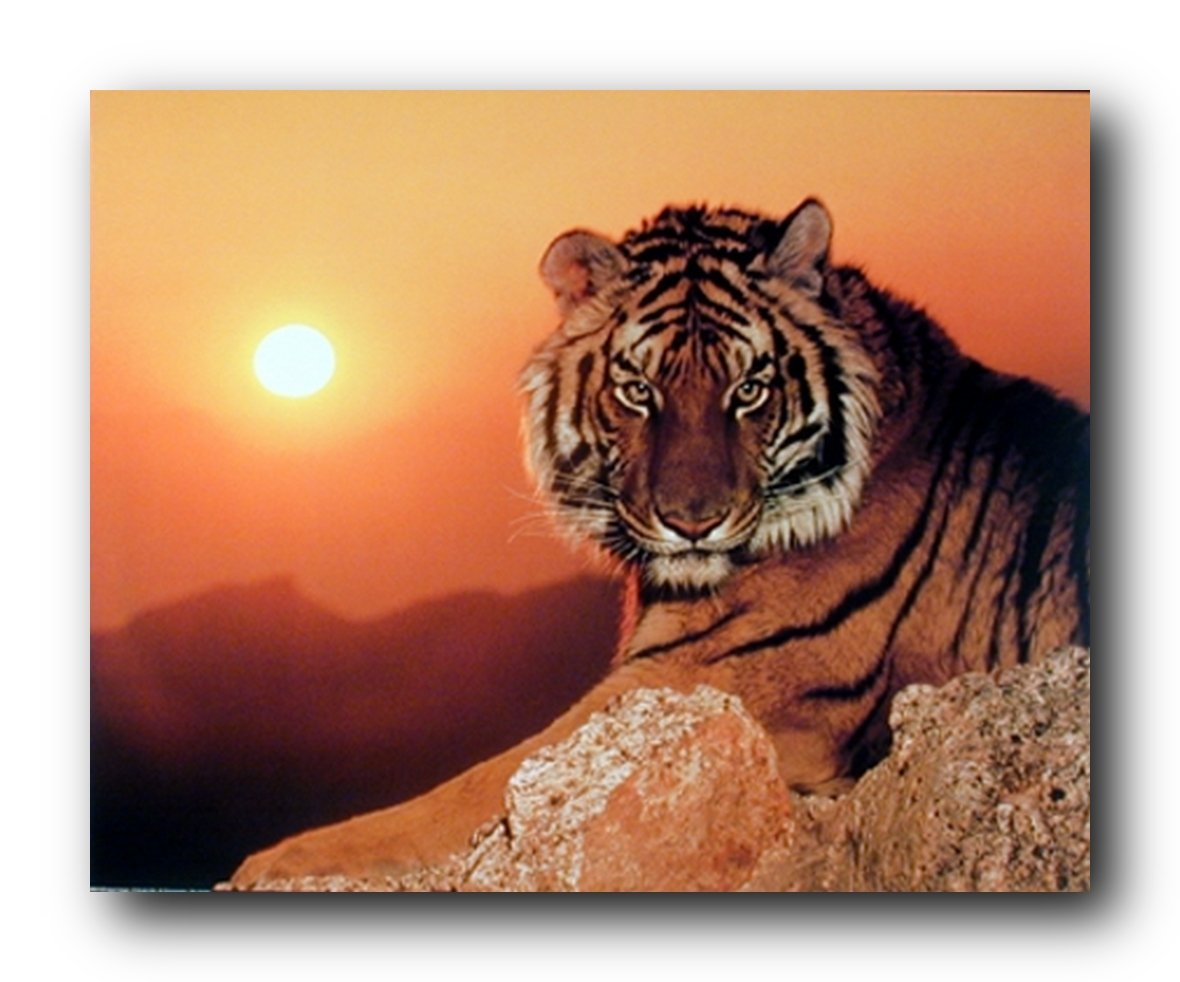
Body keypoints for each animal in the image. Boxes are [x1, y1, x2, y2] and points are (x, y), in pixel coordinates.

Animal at [229, 198, 1089, 888]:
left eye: (750, 389)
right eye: (638, 390)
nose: (693, 521)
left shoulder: (705, 684)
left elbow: (472, 789)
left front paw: (275, 861)